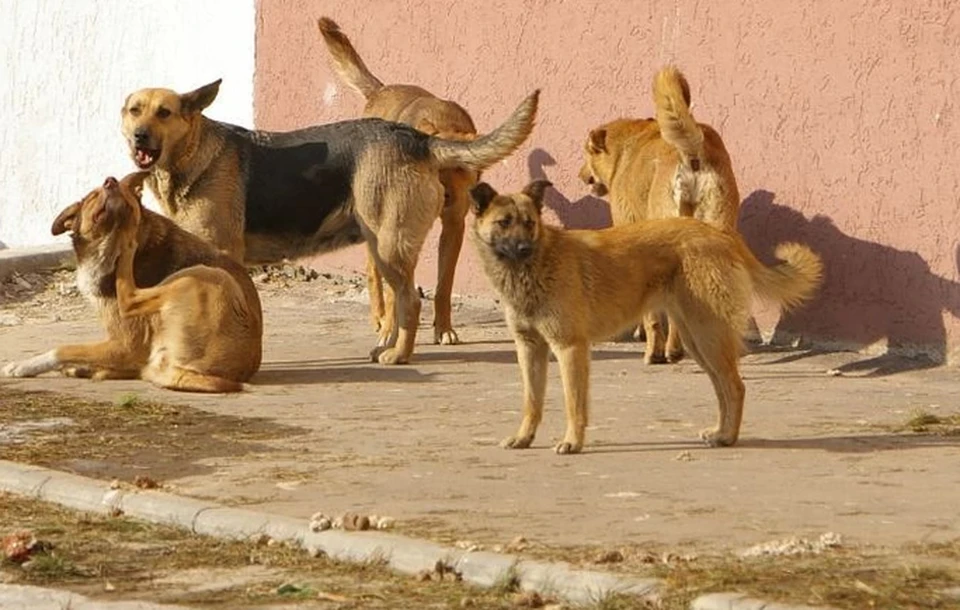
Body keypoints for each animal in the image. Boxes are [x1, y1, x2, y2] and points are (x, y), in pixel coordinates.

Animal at [0, 171, 262, 390]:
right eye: (93, 196)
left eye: (119, 188)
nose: (111, 181)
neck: (106, 248)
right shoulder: (123, 346)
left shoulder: (126, 344)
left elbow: (62, 349)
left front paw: (22, 366)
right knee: (138, 368)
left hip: (205, 275)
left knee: (129, 298)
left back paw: (127, 233)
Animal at [119, 78, 536, 364]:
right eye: (134, 110)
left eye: (164, 113)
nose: (139, 136)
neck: (192, 155)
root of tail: (417, 138)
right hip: (382, 248)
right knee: (399, 302)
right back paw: (385, 347)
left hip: (390, 248)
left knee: (411, 302)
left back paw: (398, 355)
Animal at [316, 16, 478, 344]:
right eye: (433, 169)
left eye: (459, 168)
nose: (444, 198)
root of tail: (380, 90)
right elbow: (396, 287)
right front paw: (392, 327)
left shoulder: (454, 225)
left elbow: (444, 285)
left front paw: (443, 327)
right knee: (372, 270)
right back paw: (379, 317)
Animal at [468, 179, 820, 452]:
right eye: (504, 222)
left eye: (529, 223)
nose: (524, 248)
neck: (535, 266)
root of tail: (720, 235)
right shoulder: (529, 348)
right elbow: (532, 401)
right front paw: (524, 438)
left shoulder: (570, 348)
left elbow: (573, 404)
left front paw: (573, 442)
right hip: (697, 340)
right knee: (723, 388)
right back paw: (721, 434)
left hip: (708, 337)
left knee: (735, 387)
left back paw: (728, 438)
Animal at [576, 66, 744, 364]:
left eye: (588, 153)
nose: (581, 175)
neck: (627, 149)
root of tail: (691, 152)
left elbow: (652, 316)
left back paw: (667, 351)